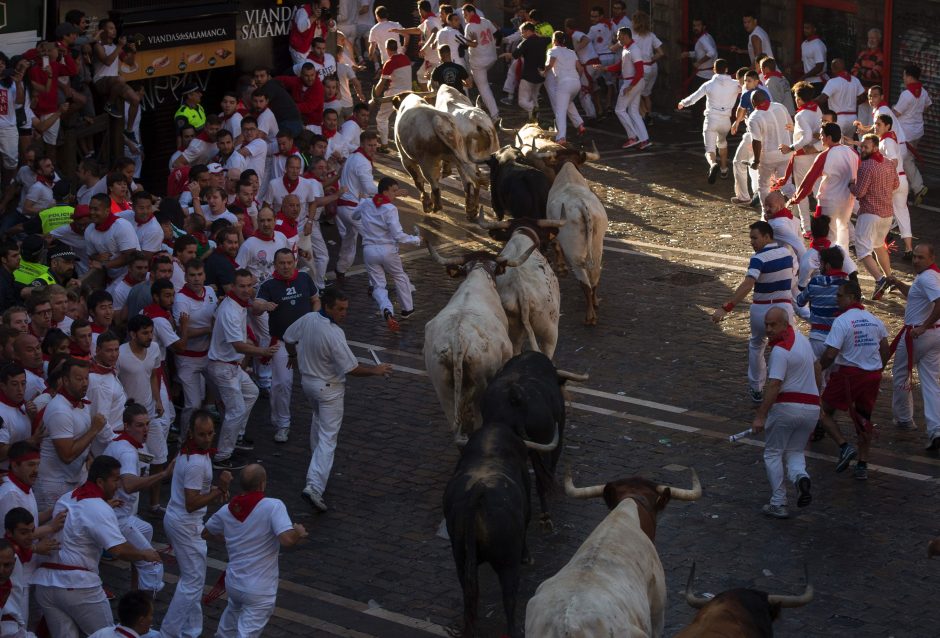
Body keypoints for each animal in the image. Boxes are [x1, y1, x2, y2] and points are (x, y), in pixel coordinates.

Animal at [544, 162, 608, 328]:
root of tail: (581, 204)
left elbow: (556, 245)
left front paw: (560, 268)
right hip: (597, 245)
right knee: (595, 275)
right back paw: (595, 302)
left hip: (574, 251)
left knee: (585, 282)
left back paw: (589, 317)